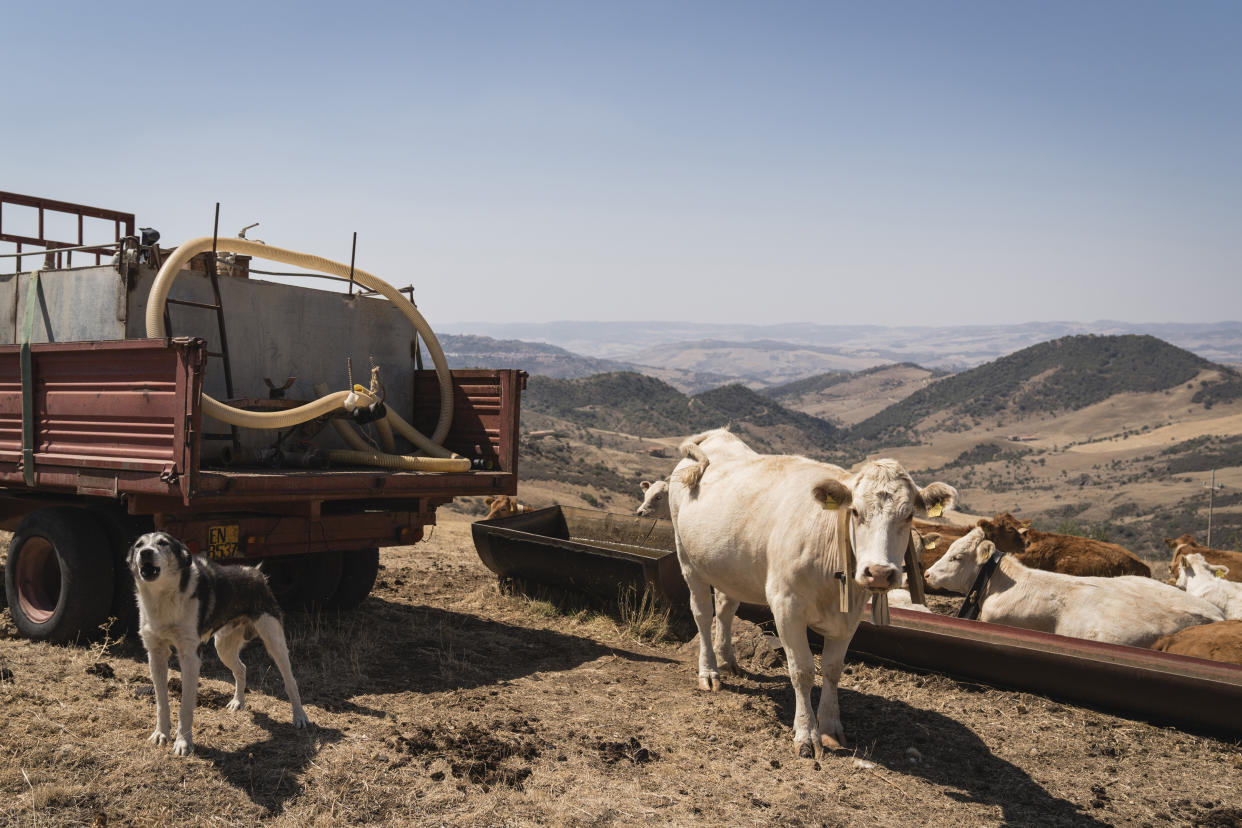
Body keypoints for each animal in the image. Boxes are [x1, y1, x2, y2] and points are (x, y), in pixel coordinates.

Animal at [127, 533, 308, 754]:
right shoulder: (156, 654)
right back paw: (238, 702)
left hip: (274, 641)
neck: (163, 597)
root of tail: (256, 573)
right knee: (241, 668)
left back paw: (299, 715)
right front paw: (161, 734)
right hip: (223, 646)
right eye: (139, 545)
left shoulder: (190, 656)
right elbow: (162, 703)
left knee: (290, 680)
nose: (145, 553)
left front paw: (183, 742)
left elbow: (185, 707)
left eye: (163, 543)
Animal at [670, 454, 958, 759]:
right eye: (855, 512)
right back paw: (709, 672)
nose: (879, 573)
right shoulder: (786, 607)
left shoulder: (851, 616)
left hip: (730, 569)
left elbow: (832, 669)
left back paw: (727, 661)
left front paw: (830, 727)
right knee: (703, 614)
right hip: (688, 560)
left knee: (726, 608)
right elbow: (803, 671)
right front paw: (807, 734)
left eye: (909, 515)